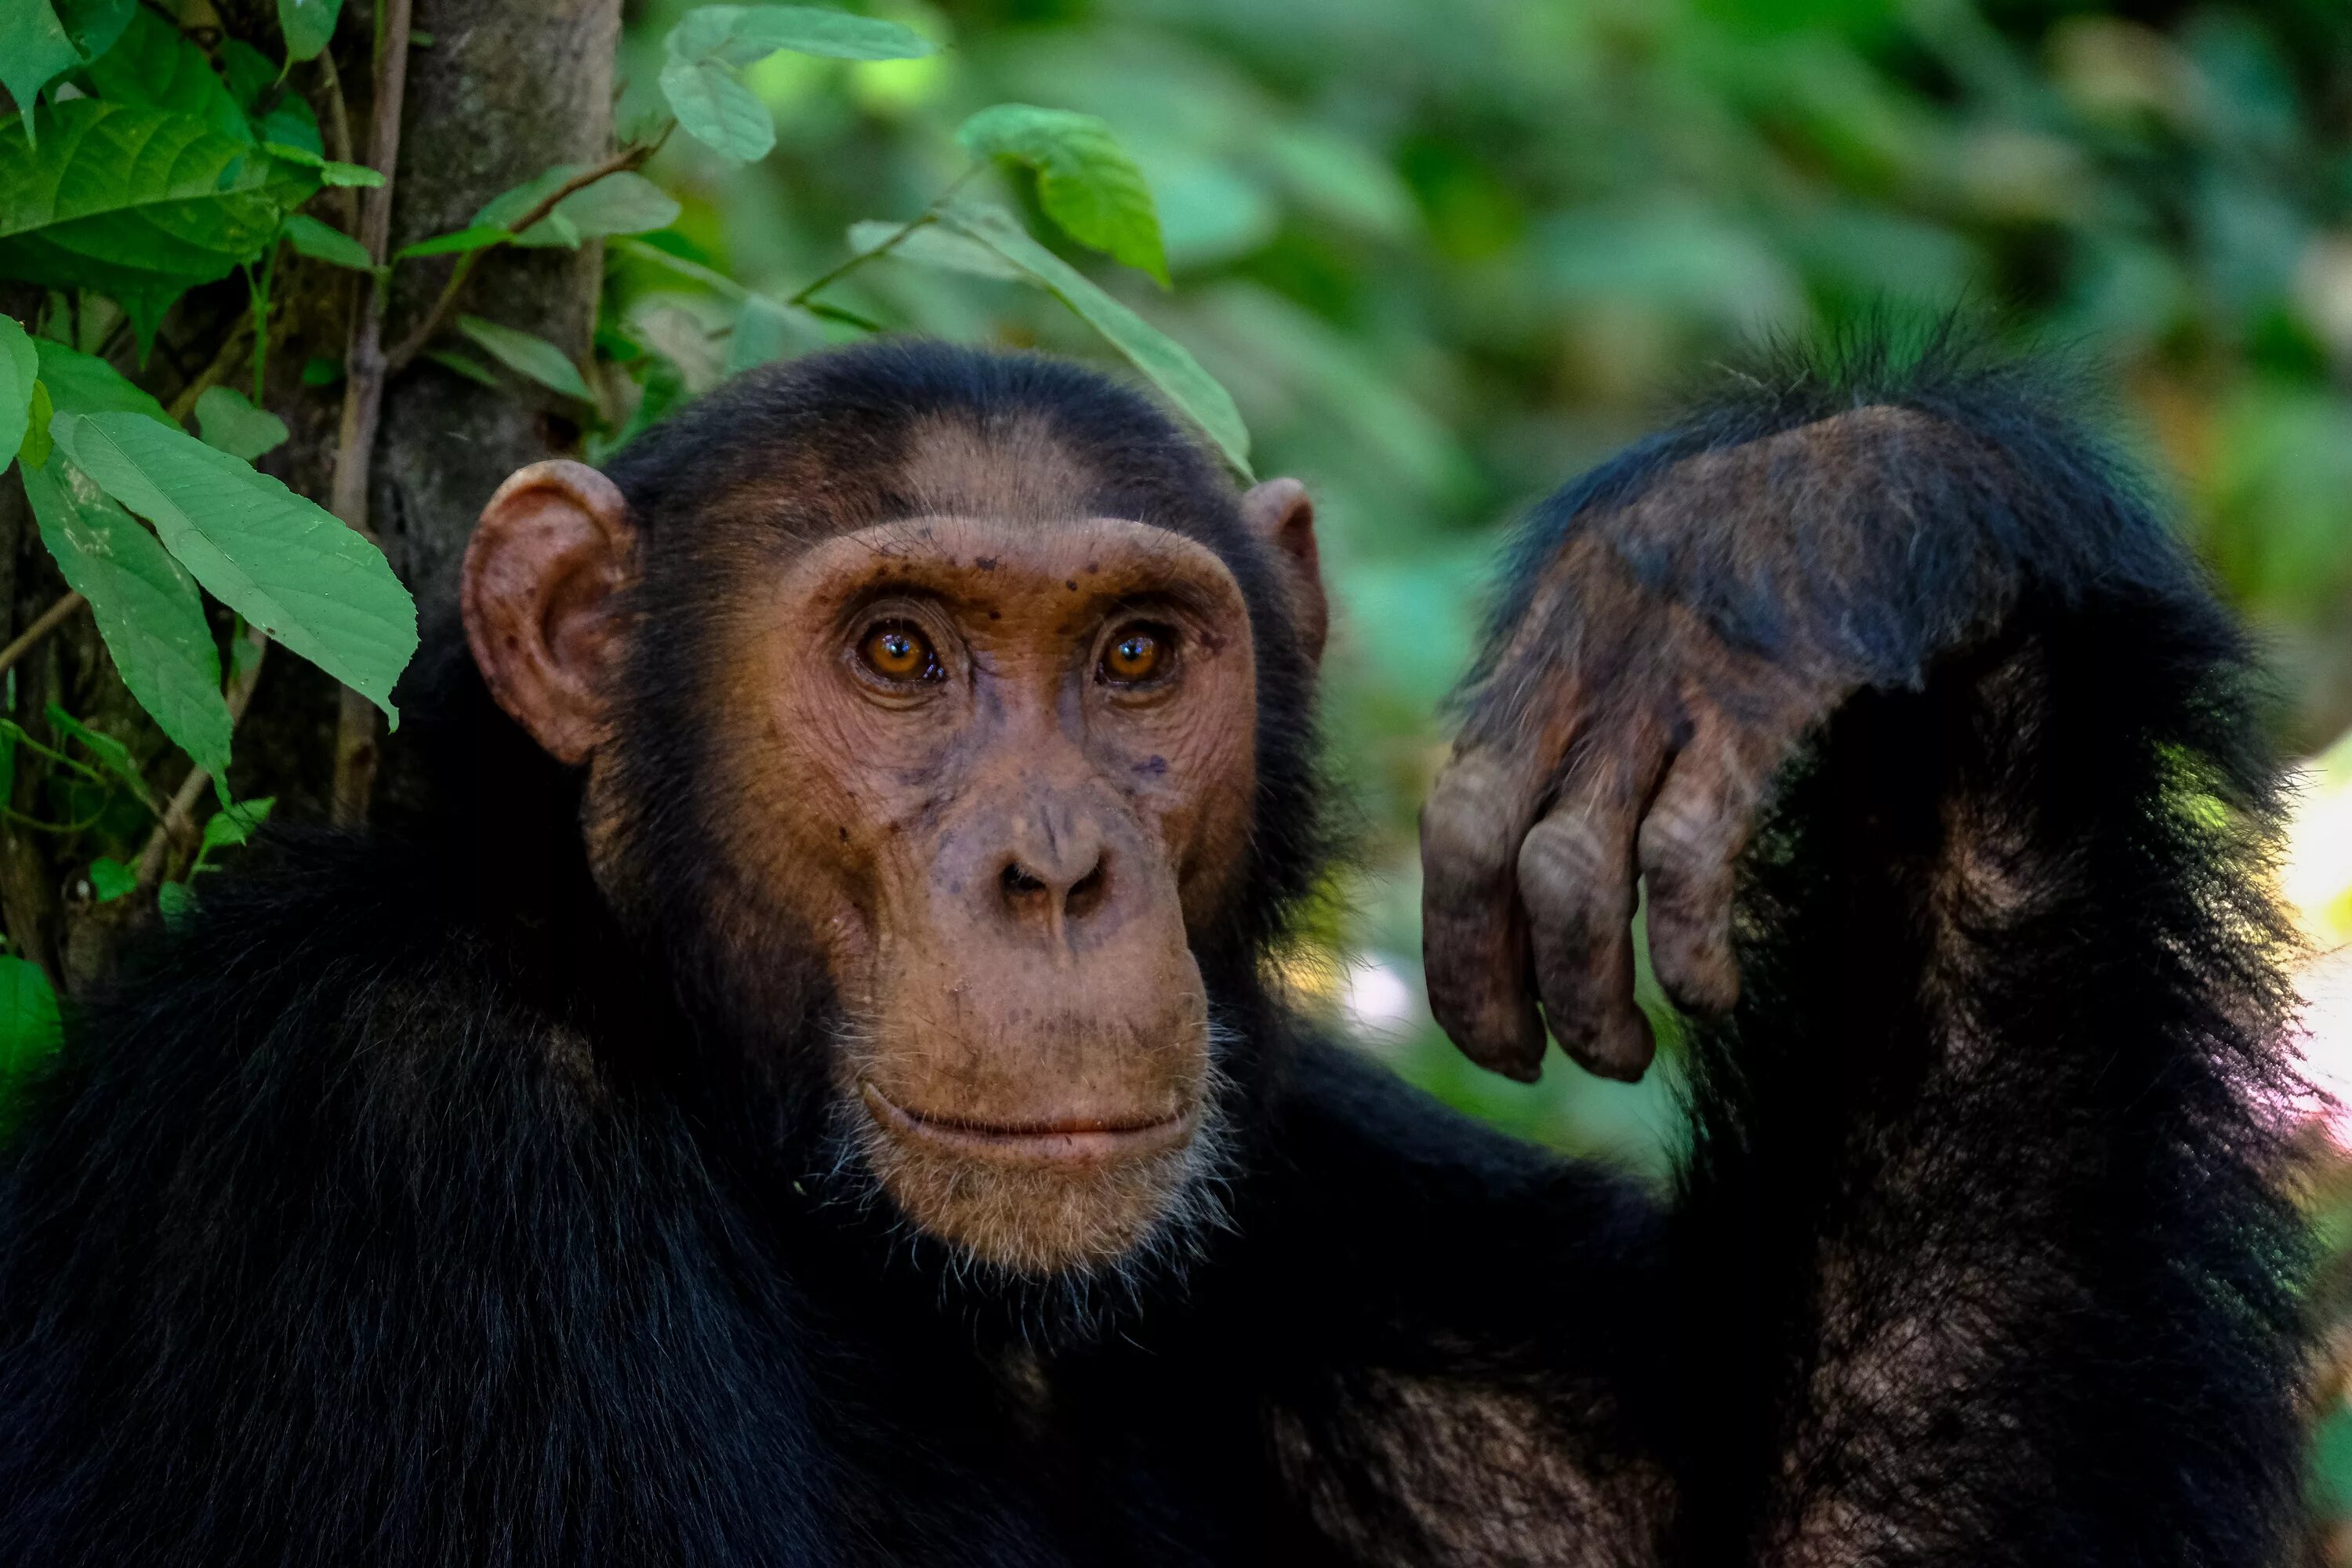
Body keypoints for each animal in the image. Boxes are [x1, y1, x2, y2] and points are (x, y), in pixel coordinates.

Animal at [0, 324, 2314, 1561]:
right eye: (900, 654)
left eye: (1132, 657)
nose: (1055, 867)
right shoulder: (410, 1158)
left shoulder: (1322, 1196)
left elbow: (1851, 1530)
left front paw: (1815, 531)